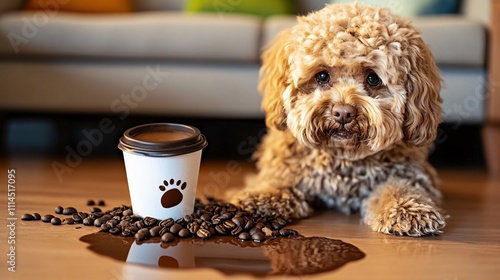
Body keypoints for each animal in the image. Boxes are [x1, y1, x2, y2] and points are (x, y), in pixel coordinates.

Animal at [232, 3, 448, 237]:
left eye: (373, 78)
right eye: (322, 76)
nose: (343, 112)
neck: (343, 157)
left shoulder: (410, 172)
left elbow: (400, 186)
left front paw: (408, 208)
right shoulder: (287, 164)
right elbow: (278, 178)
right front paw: (262, 196)